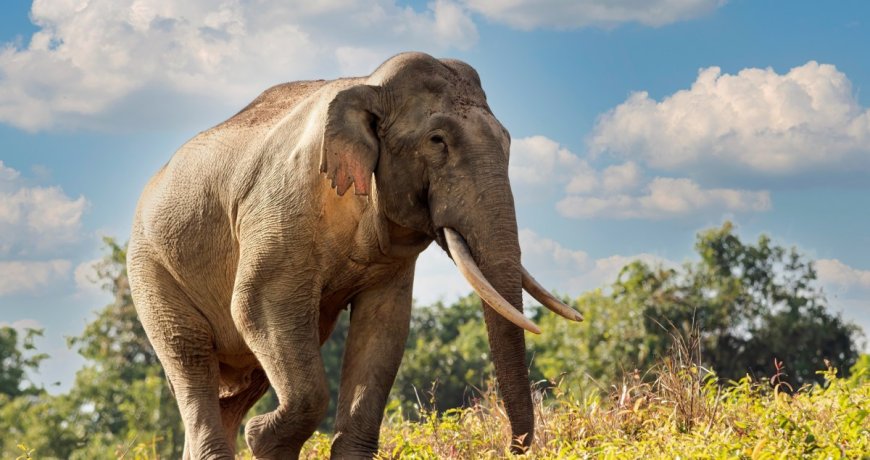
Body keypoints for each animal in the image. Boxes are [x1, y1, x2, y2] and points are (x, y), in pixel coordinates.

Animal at [127, 51, 582, 459]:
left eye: (507, 141)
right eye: (437, 141)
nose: (513, 447)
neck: (368, 84)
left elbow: (384, 325)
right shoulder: (280, 212)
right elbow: (256, 305)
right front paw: (262, 437)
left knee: (240, 383)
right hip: (151, 269)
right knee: (190, 356)